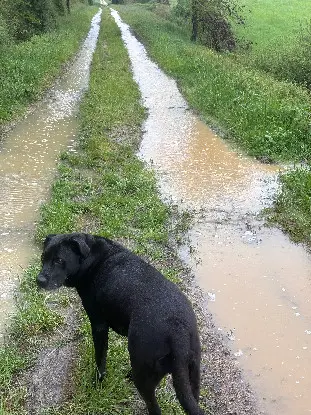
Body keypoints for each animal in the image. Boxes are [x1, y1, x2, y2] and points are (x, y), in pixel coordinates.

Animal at [37, 234, 207, 415]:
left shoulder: (99, 326)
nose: (39, 280)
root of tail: (177, 331)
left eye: (59, 260)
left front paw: (97, 383)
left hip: (144, 375)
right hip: (192, 375)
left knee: (154, 407)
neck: (93, 257)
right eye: (43, 257)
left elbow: (100, 359)